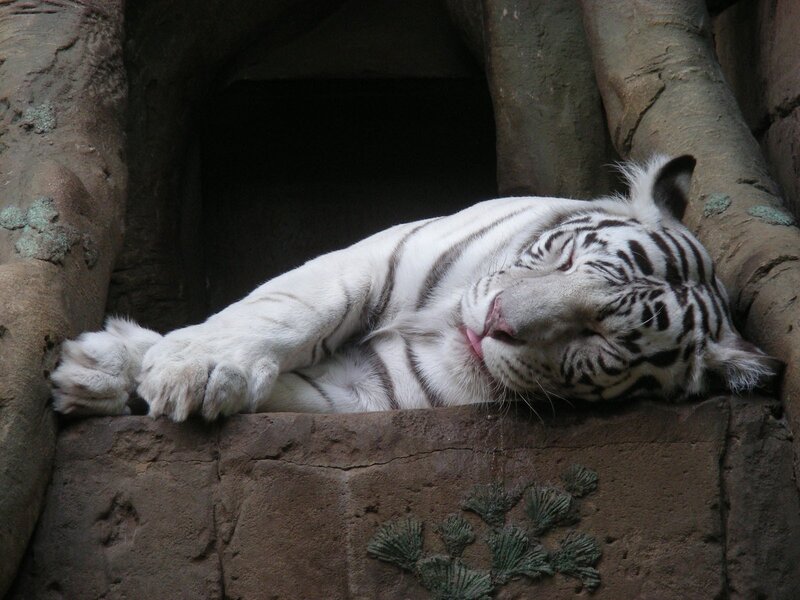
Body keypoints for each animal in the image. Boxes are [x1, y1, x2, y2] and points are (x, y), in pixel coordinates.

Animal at [51, 155, 781, 421]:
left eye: (598, 337)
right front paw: (186, 369)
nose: (493, 321)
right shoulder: (379, 256)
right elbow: (289, 308)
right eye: (566, 259)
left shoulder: (366, 393)